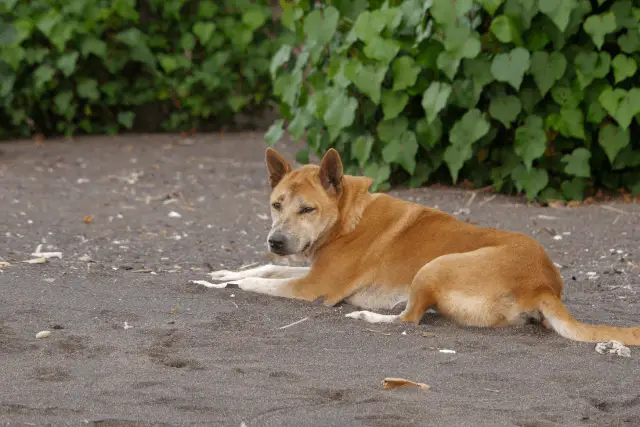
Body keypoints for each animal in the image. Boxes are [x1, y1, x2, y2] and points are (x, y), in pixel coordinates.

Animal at [210, 149, 640, 346]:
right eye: (276, 205)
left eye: (307, 209)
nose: (275, 241)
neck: (348, 215)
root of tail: (543, 284)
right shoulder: (308, 270)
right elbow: (265, 268)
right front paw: (223, 272)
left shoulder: (315, 288)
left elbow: (259, 282)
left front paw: (226, 284)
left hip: (434, 267)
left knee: (409, 319)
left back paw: (367, 317)